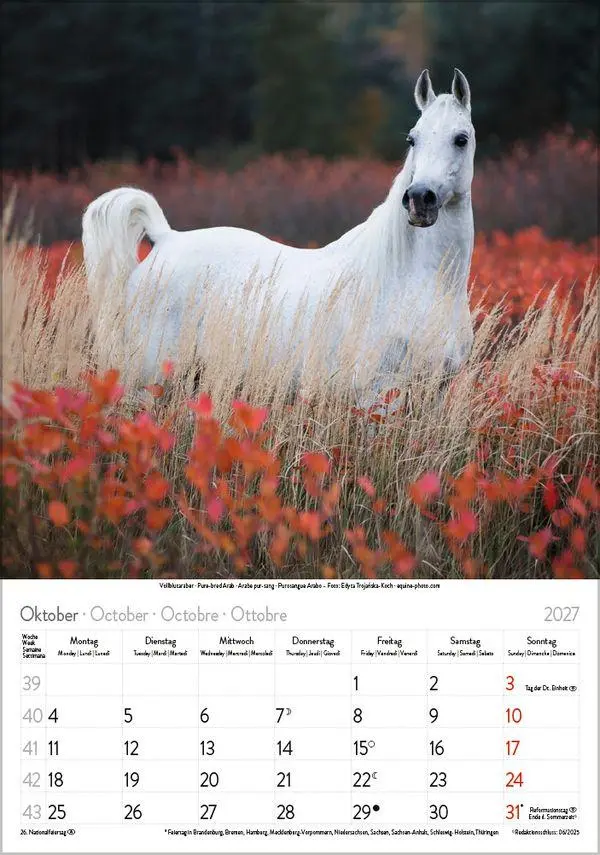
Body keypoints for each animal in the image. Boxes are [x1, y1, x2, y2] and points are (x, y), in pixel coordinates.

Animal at [82, 69, 476, 393]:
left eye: (461, 138)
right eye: (412, 139)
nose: (420, 199)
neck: (412, 279)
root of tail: (166, 238)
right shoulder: (376, 395)